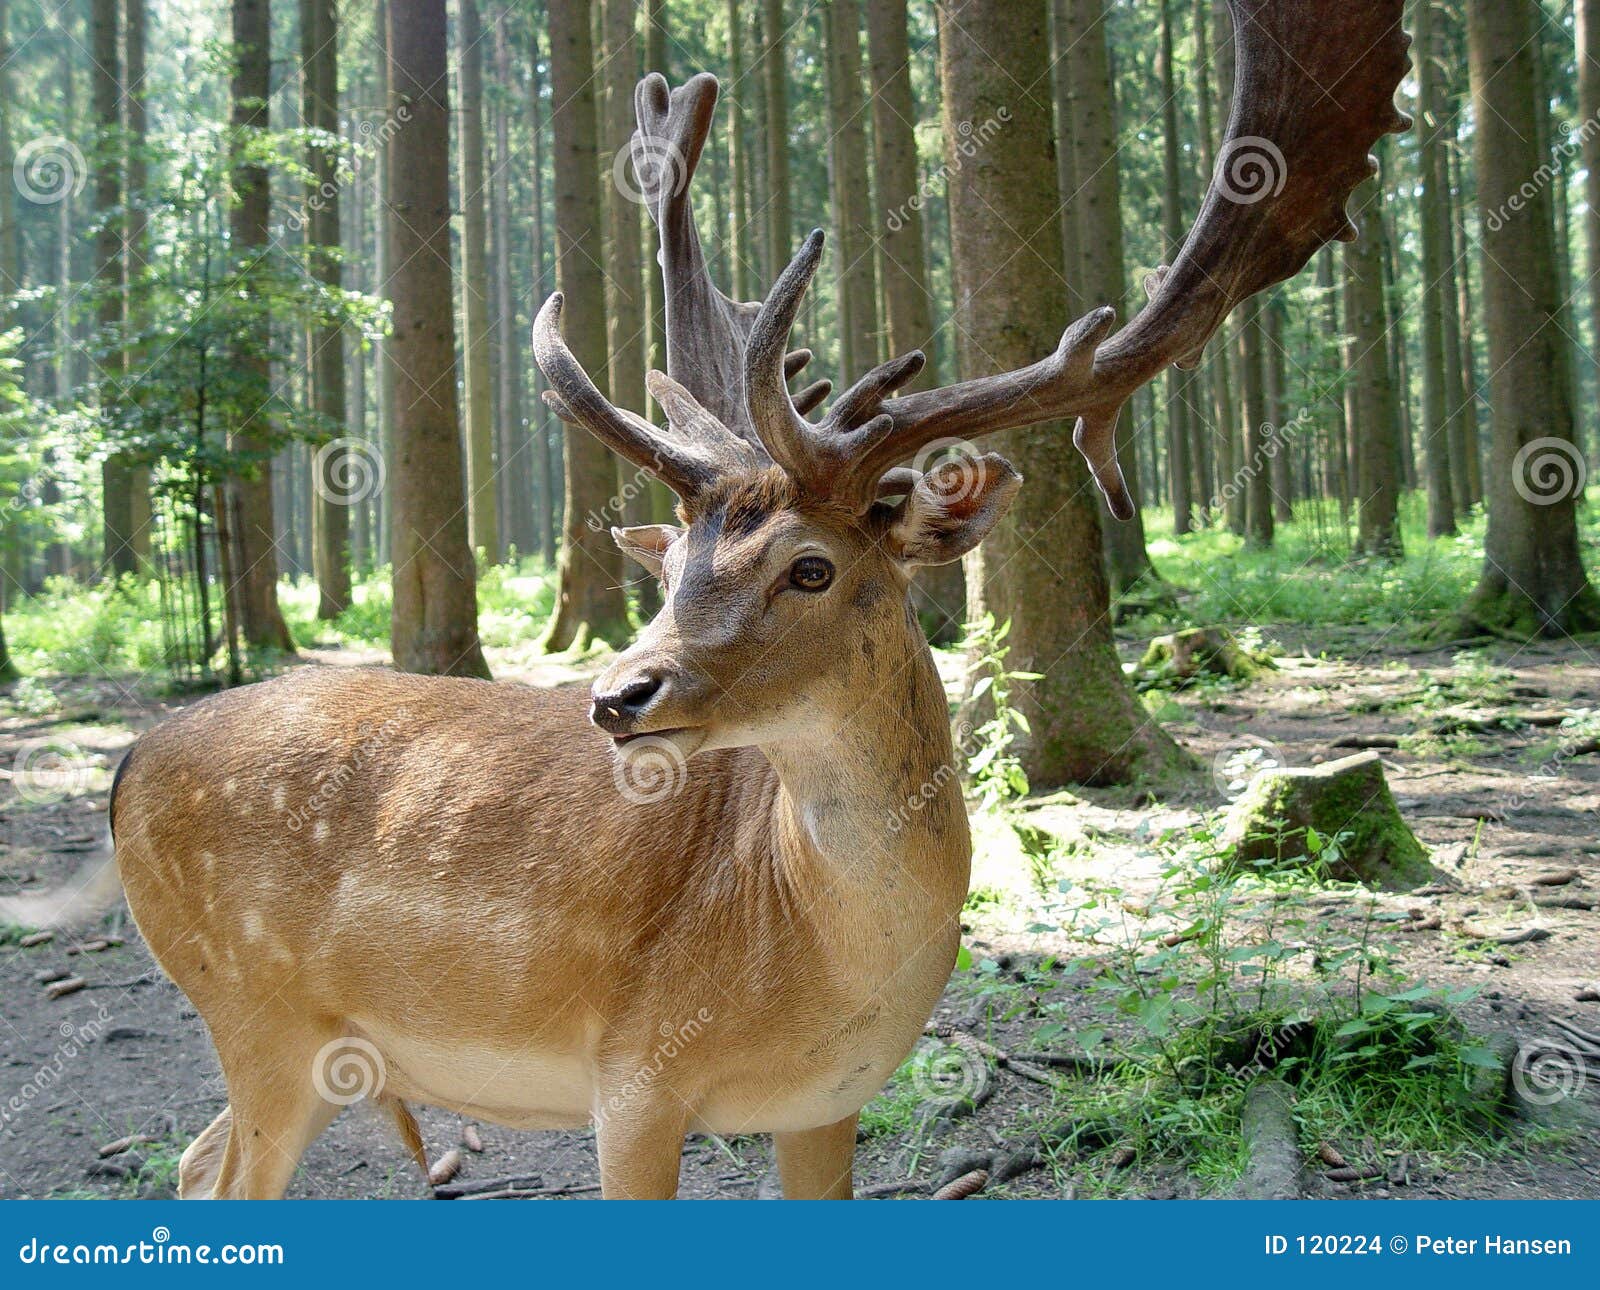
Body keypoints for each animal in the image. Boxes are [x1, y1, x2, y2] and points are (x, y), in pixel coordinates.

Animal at [84, 0, 1407, 1199]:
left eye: (810, 567)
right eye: (669, 566)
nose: (618, 696)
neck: (816, 962)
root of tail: (128, 761)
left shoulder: (828, 1106)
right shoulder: (632, 1082)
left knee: (191, 1164)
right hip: (257, 1012)